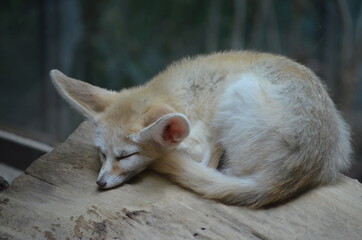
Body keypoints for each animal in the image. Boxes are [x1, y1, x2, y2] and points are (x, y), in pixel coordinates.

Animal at [51, 51, 350, 208]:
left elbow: (202, 157)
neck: (175, 91)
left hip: (237, 91)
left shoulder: (202, 139)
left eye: (126, 156)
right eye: (102, 154)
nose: (100, 183)